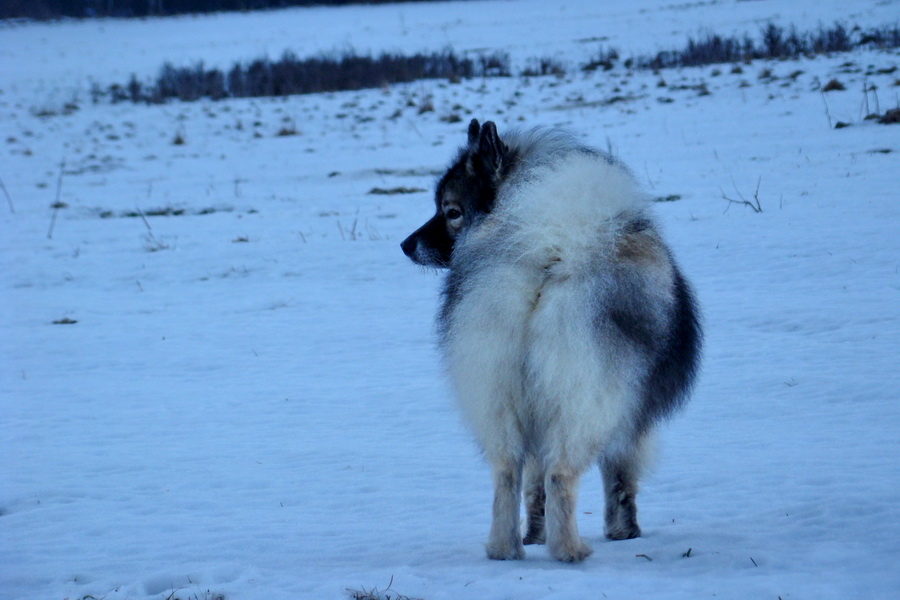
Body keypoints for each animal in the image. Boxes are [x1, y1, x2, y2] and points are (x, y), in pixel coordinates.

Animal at [402, 120, 704, 564]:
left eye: (450, 211)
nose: (406, 245)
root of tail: (542, 260)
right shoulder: (631, 417)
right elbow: (620, 477)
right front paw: (624, 532)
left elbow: (533, 485)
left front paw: (535, 535)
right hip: (587, 400)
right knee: (562, 474)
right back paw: (570, 550)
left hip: (498, 393)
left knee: (507, 473)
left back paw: (506, 549)